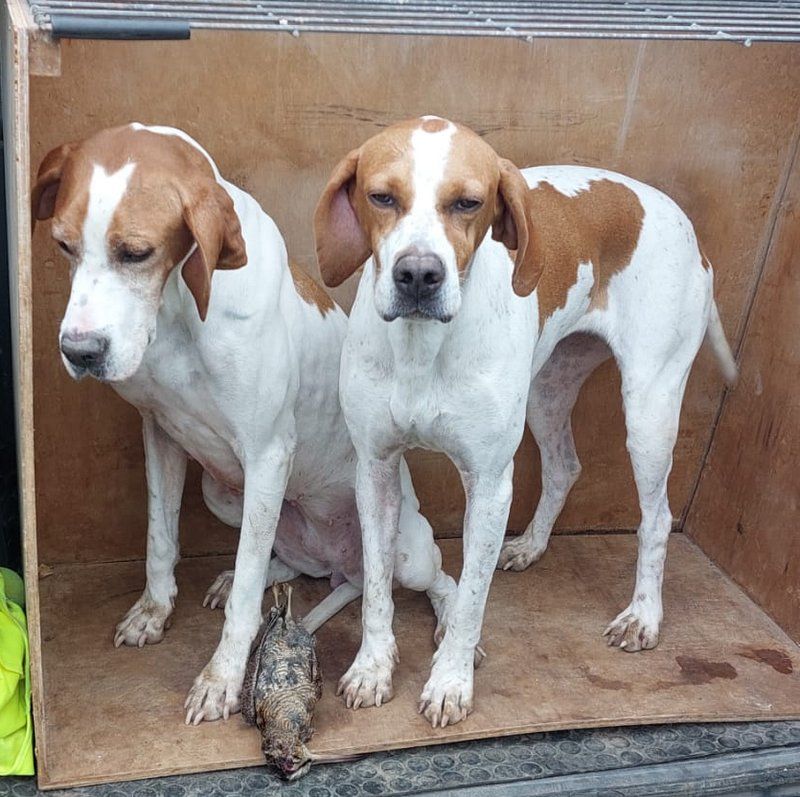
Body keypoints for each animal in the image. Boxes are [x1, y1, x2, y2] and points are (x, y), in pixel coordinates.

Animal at [31, 123, 456, 720]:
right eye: (63, 245)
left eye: (135, 253)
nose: (80, 352)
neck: (179, 306)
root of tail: (345, 565)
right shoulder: (159, 432)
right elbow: (160, 537)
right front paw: (153, 611)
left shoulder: (267, 453)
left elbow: (244, 601)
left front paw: (222, 678)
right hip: (224, 494)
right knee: (290, 566)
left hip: (402, 548)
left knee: (437, 576)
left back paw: (451, 623)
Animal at [314, 113, 736, 728]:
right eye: (381, 197)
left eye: (468, 203)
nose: (418, 275)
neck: (421, 347)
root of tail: (686, 226)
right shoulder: (375, 470)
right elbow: (375, 585)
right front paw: (372, 667)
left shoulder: (490, 485)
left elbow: (470, 599)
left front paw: (450, 681)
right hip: (547, 389)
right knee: (565, 466)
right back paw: (531, 545)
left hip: (650, 410)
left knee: (656, 516)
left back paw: (643, 615)